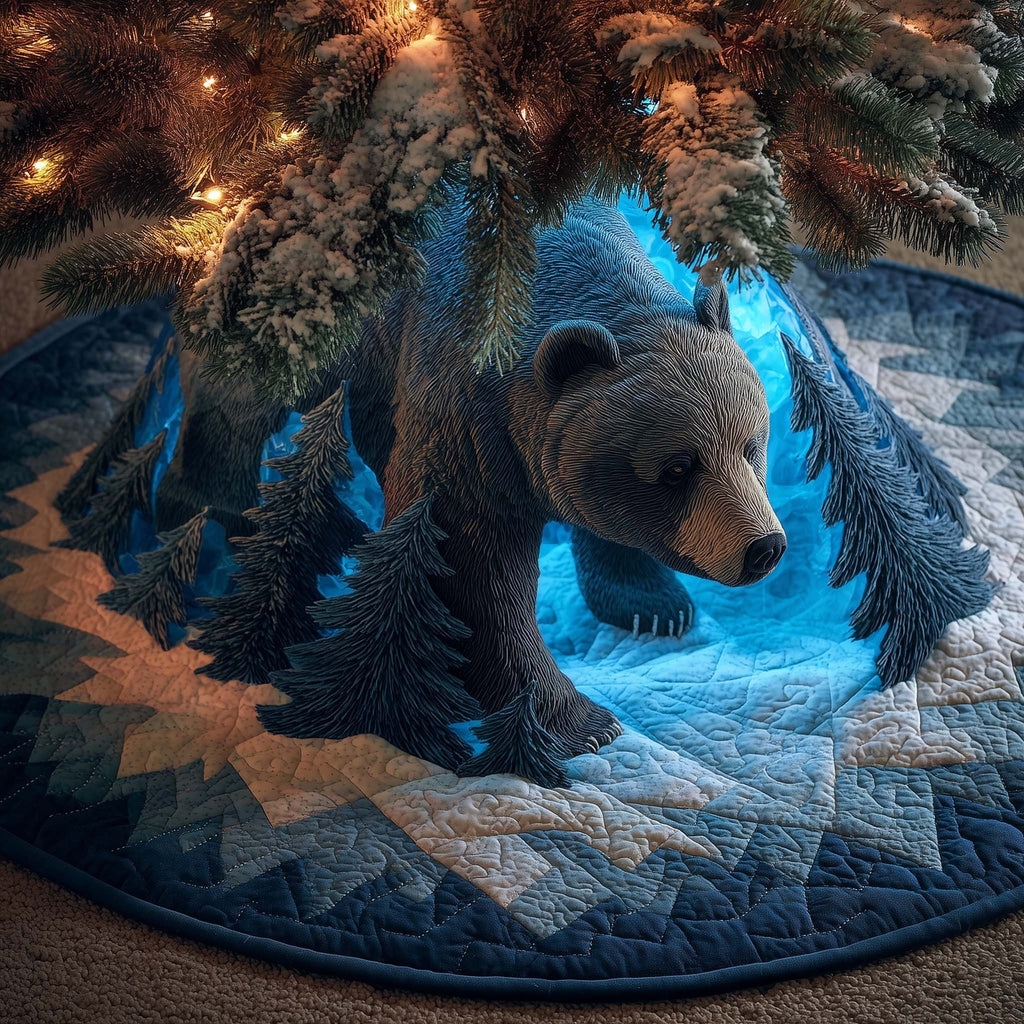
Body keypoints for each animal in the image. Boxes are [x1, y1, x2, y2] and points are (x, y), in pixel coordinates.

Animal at [156, 197, 786, 757]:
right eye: (677, 469)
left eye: (750, 446)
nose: (764, 547)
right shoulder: (466, 406)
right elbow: (471, 563)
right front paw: (574, 720)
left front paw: (653, 603)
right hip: (297, 297)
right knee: (235, 398)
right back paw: (211, 518)